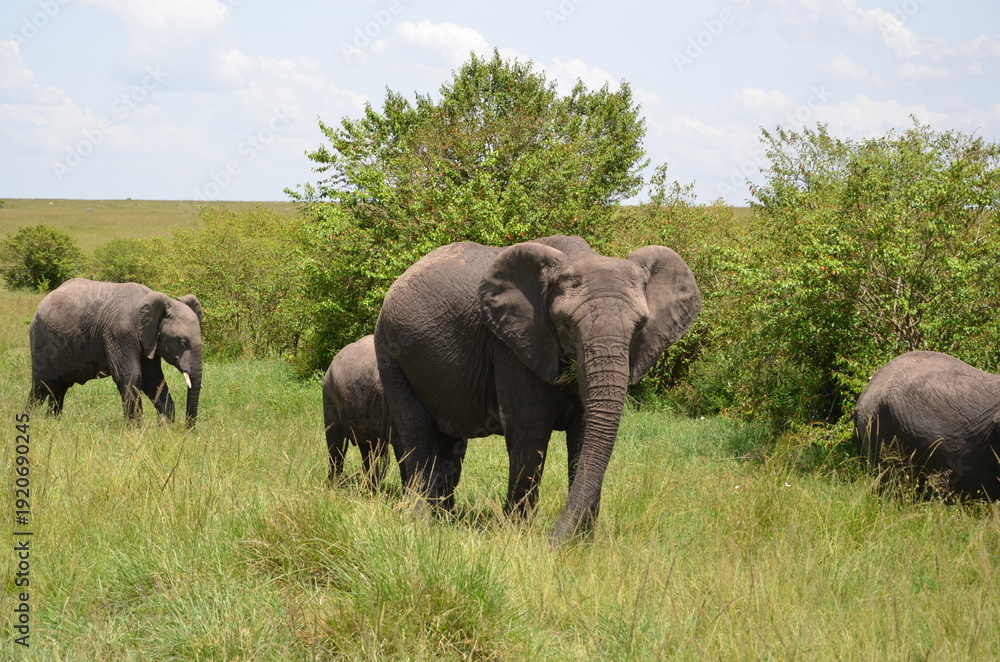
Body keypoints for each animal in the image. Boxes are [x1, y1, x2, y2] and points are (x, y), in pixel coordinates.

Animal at [28, 278, 204, 426]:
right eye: (182, 342)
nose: (187, 429)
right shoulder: (119, 334)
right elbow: (130, 376)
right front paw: (136, 431)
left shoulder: (150, 339)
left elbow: (153, 380)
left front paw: (164, 430)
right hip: (40, 339)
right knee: (41, 386)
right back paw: (31, 421)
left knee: (59, 387)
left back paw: (53, 423)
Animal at [374, 234, 701, 543]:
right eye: (566, 324)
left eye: (640, 326)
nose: (551, 542)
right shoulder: (514, 344)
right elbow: (531, 427)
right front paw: (520, 536)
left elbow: (584, 433)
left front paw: (581, 545)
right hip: (390, 351)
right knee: (417, 434)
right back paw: (420, 522)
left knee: (448, 442)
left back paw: (444, 519)